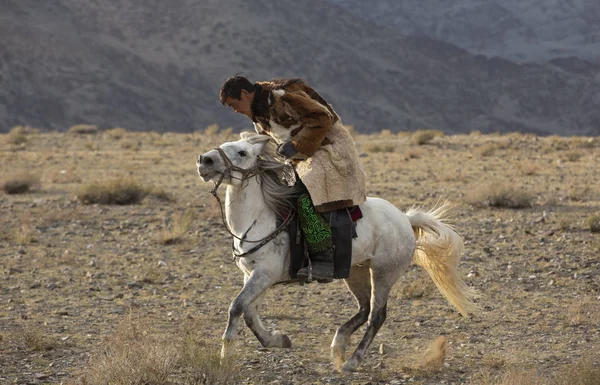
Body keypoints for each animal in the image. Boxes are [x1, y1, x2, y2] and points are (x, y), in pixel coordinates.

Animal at [198, 132, 478, 372]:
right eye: (222, 146)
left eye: (242, 152)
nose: (205, 160)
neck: (259, 219)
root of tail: (405, 219)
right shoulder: (252, 276)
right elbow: (249, 312)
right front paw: (278, 340)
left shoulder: (264, 274)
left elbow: (236, 307)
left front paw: (224, 355)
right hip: (355, 271)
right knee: (364, 309)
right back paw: (338, 345)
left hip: (383, 273)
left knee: (376, 315)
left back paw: (352, 361)